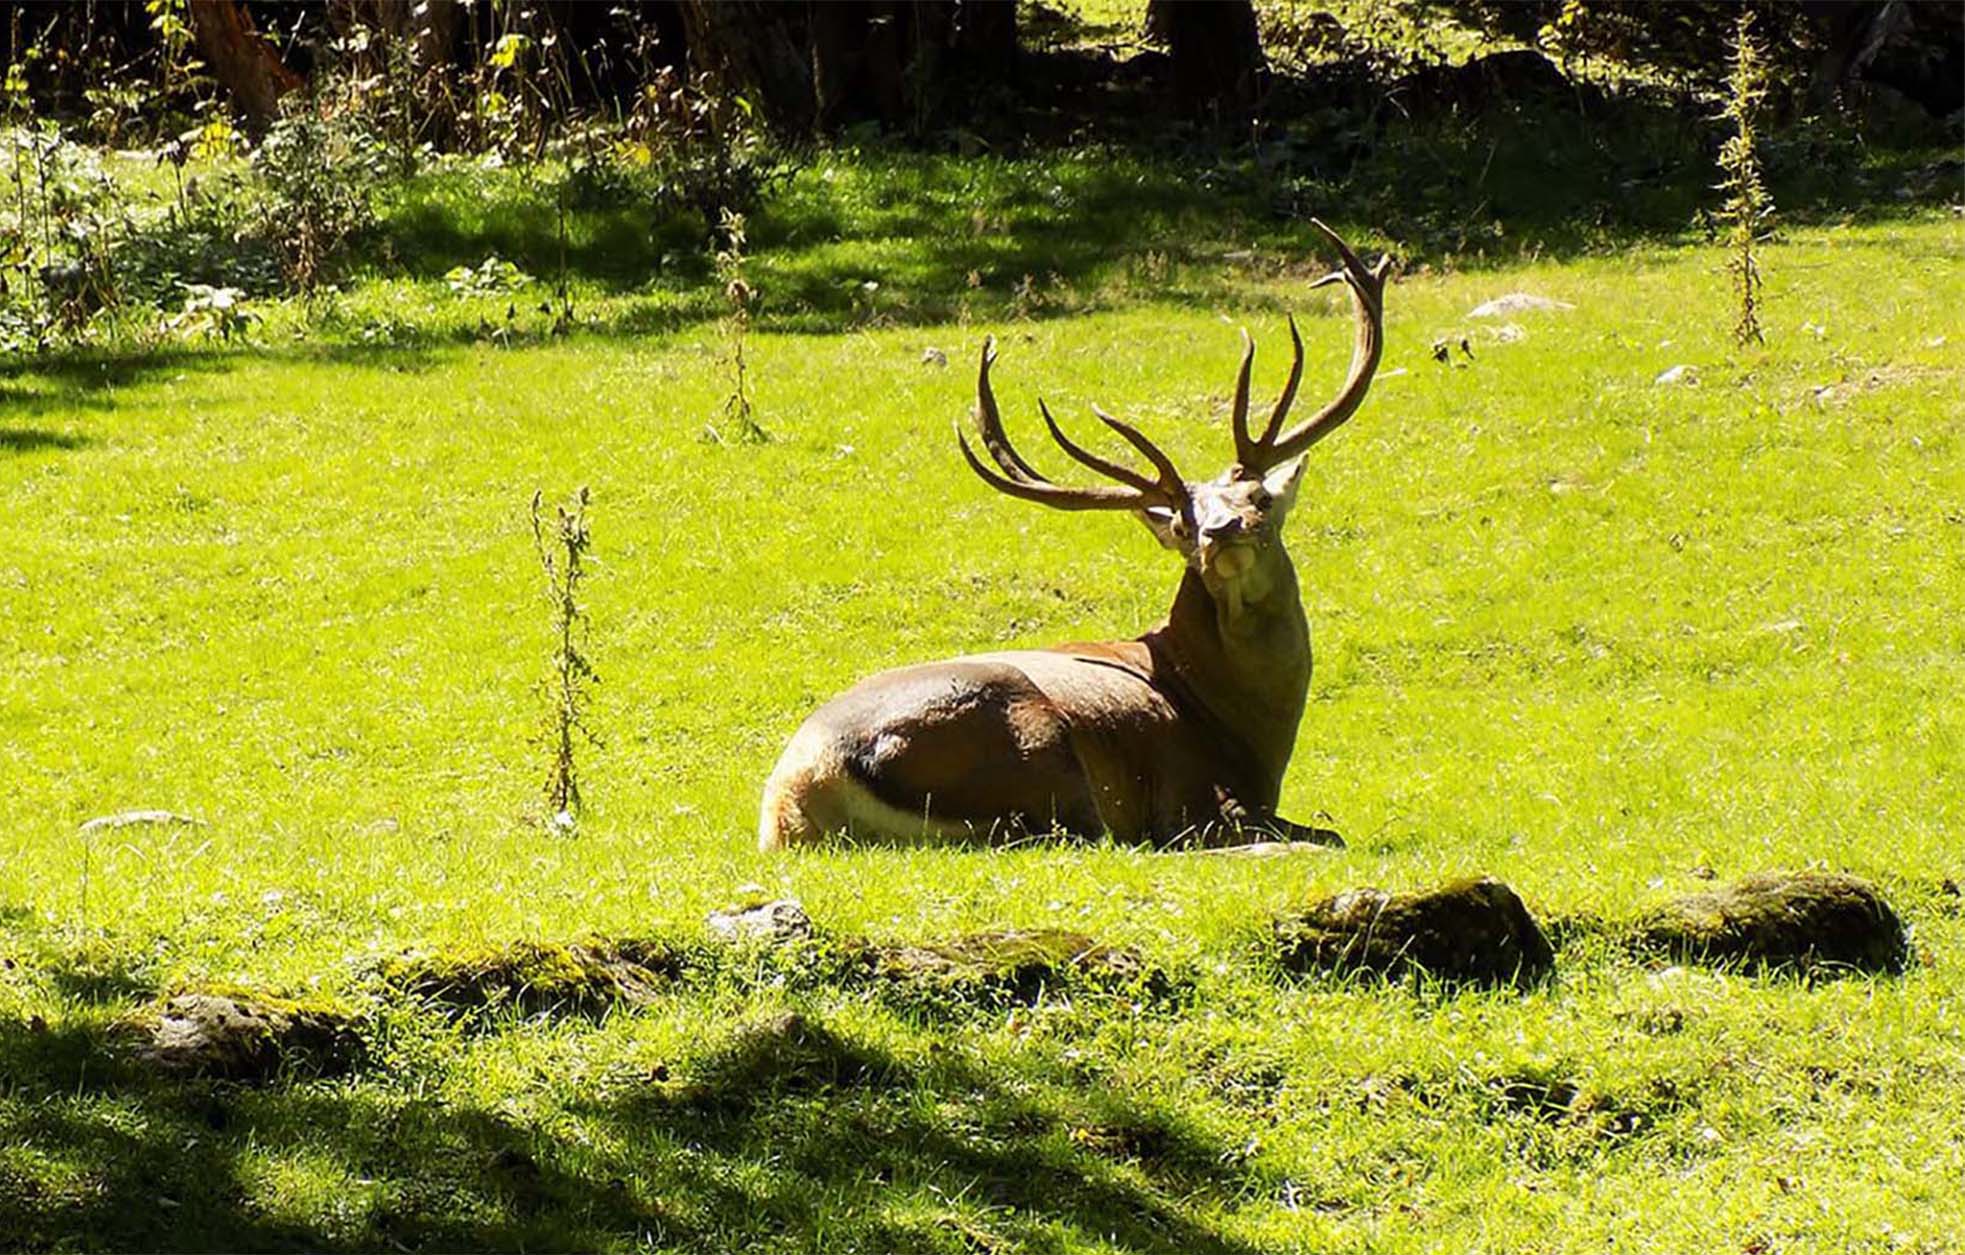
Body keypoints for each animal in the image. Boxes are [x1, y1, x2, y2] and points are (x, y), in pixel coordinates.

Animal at [758, 223, 1391, 856]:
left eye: (1258, 498)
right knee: (1099, 837)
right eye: (1183, 526)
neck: (1237, 722)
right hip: (1030, 742)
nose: (1219, 531)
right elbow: (1310, 830)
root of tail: (802, 793)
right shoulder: (1192, 790)